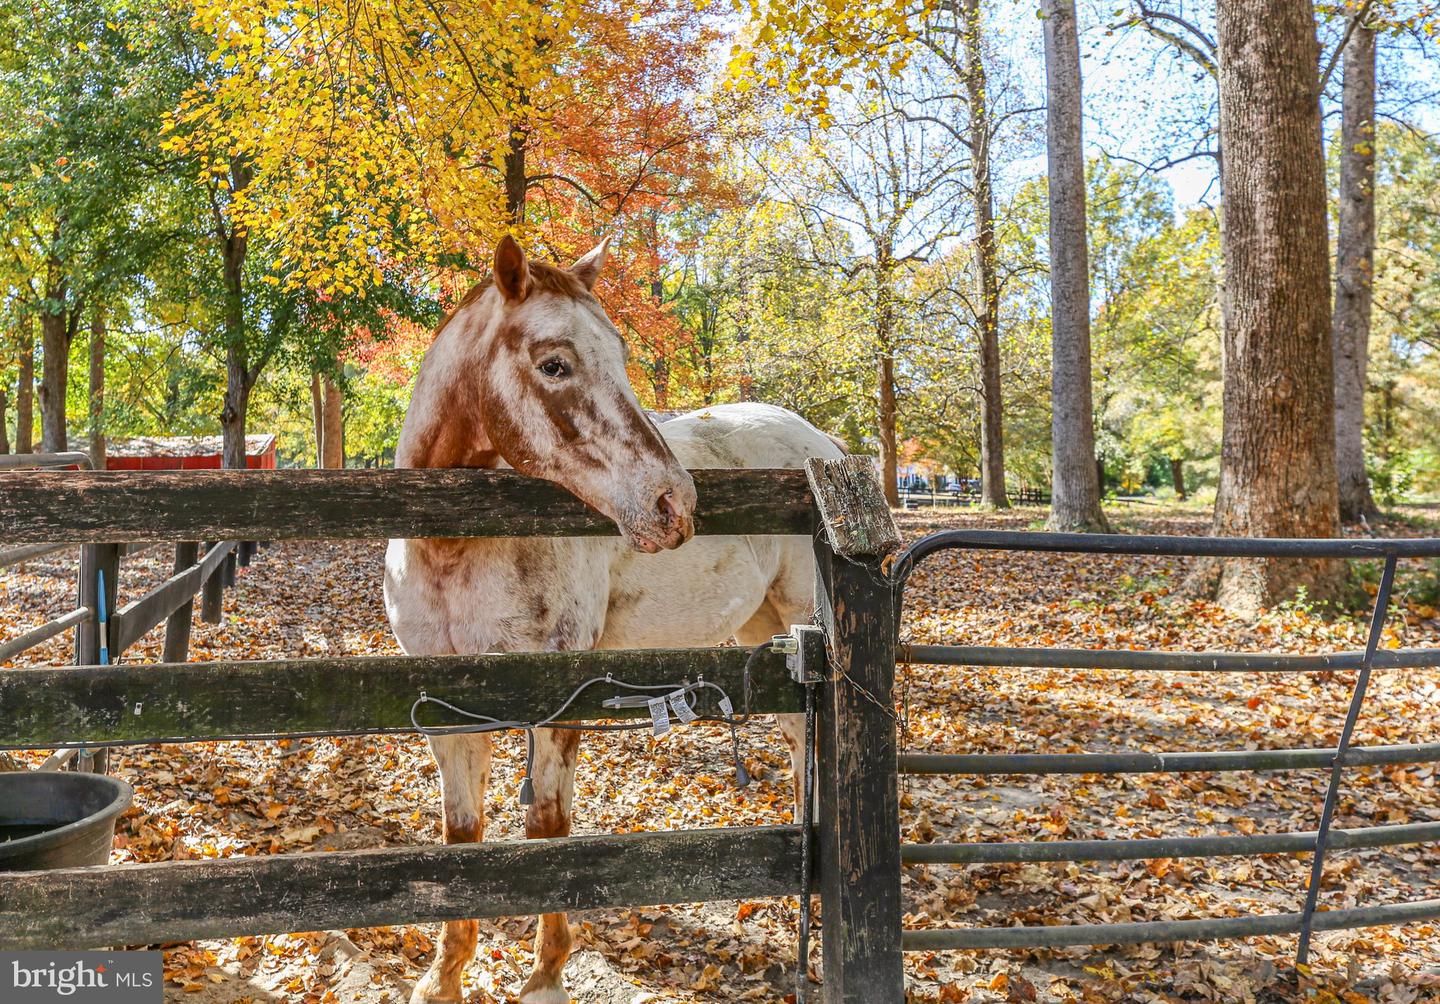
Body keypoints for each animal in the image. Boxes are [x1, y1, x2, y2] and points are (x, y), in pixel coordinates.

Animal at [385, 236, 840, 1002]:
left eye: (621, 355)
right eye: (554, 364)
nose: (673, 503)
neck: (451, 544)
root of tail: (824, 448)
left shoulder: (557, 697)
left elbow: (548, 826)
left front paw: (545, 976)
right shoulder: (445, 714)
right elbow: (462, 835)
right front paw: (443, 980)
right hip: (763, 634)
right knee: (795, 740)